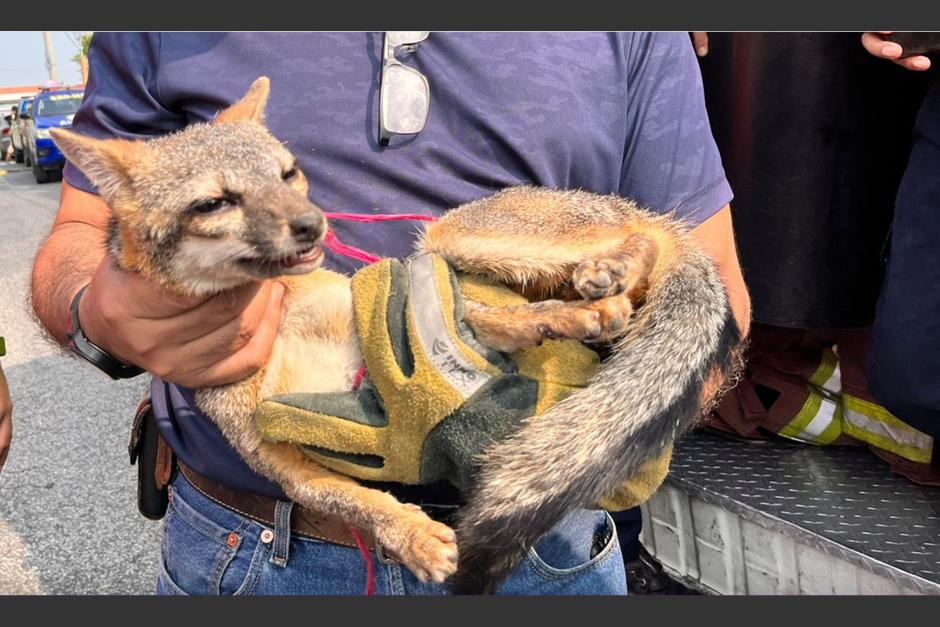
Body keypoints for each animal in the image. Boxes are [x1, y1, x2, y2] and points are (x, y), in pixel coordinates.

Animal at [51, 77, 740, 592]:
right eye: (215, 203)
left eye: (288, 174)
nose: (312, 224)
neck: (286, 327)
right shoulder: (282, 456)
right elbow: (363, 503)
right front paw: (412, 536)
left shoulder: (384, 301)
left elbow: (483, 321)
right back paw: (598, 301)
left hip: (449, 236)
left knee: (641, 241)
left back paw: (613, 273)